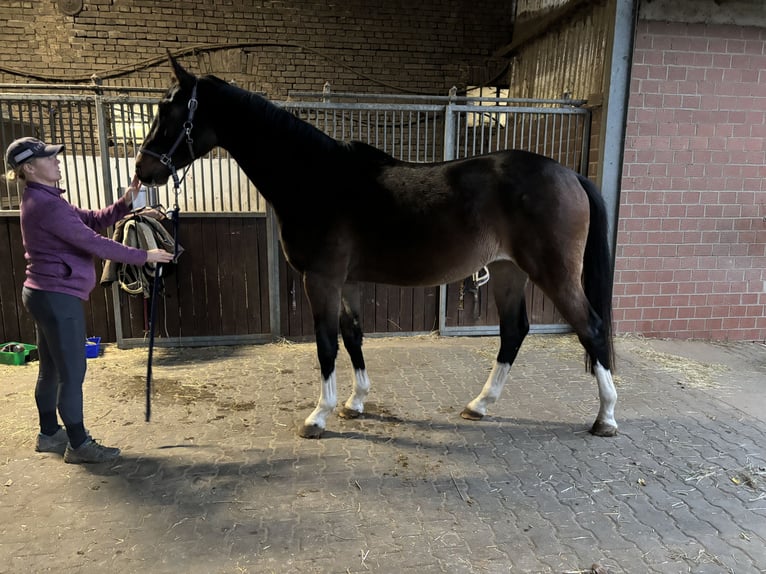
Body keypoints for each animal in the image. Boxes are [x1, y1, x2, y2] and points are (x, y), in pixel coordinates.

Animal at [136, 55, 616, 440]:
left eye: (170, 111)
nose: (143, 170)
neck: (314, 178)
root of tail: (570, 175)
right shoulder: (346, 282)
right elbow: (352, 337)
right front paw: (355, 402)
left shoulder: (321, 280)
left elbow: (326, 344)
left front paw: (319, 415)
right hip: (506, 270)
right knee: (514, 331)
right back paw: (479, 405)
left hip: (553, 272)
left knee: (591, 327)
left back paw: (606, 418)